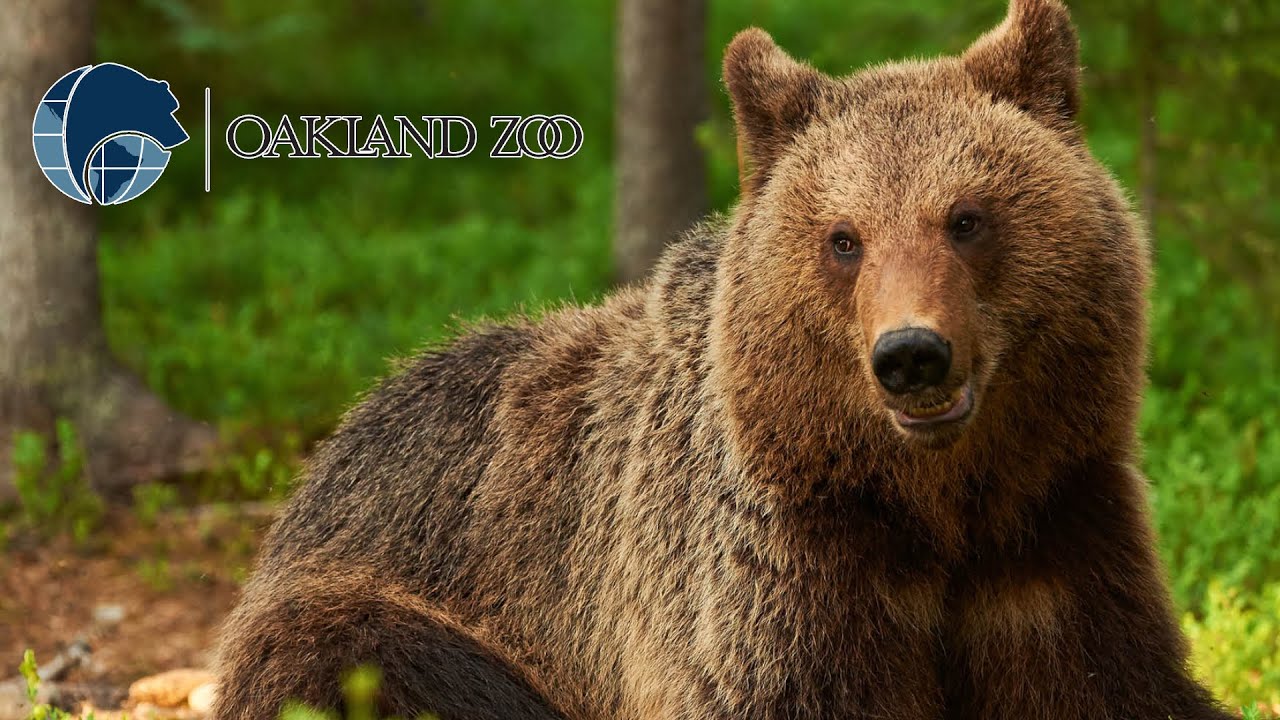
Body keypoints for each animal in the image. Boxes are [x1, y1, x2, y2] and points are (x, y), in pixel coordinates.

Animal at [213, 1, 1234, 718]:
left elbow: (1121, 683)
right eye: (843, 238)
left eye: (967, 216)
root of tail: (339, 441)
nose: (912, 354)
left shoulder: (1052, 533)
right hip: (386, 585)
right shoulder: (781, 573)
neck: (932, 508)